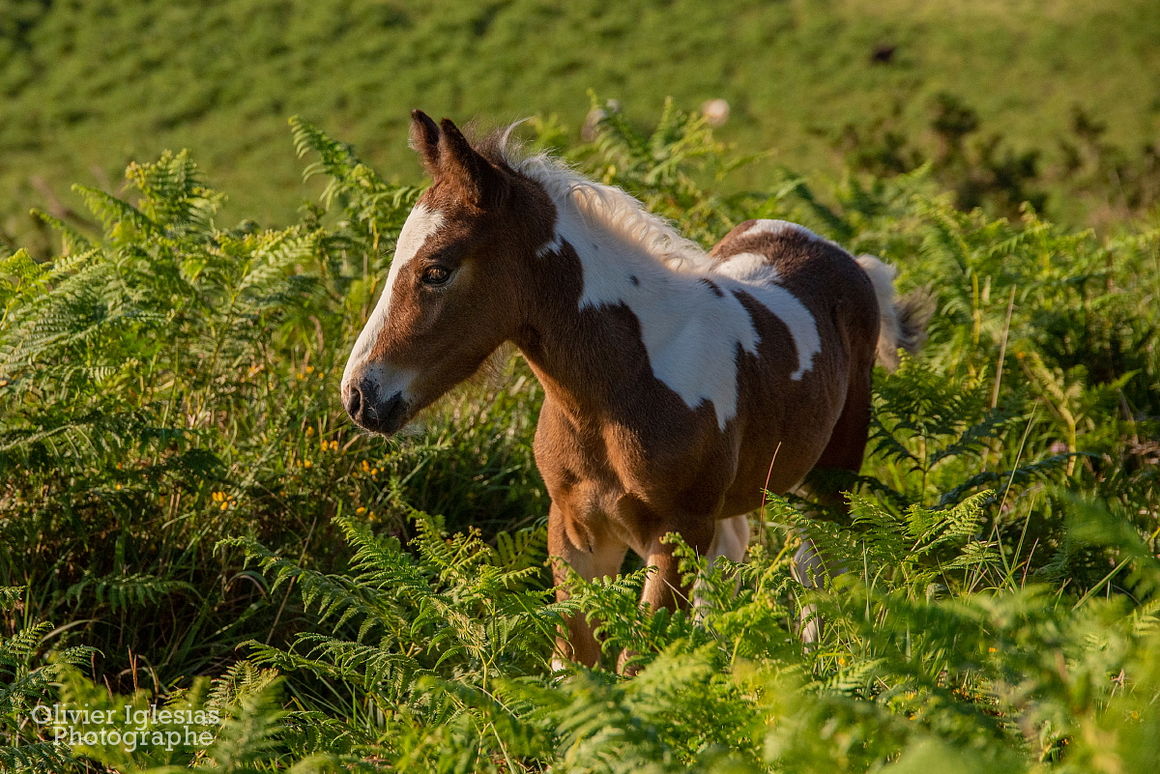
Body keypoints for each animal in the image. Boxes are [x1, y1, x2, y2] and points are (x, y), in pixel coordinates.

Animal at [338, 110, 918, 673]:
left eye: (437, 270)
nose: (359, 395)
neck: (618, 389)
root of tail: (844, 257)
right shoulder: (576, 531)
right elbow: (575, 661)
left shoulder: (678, 531)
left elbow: (635, 663)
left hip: (831, 474)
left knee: (817, 564)